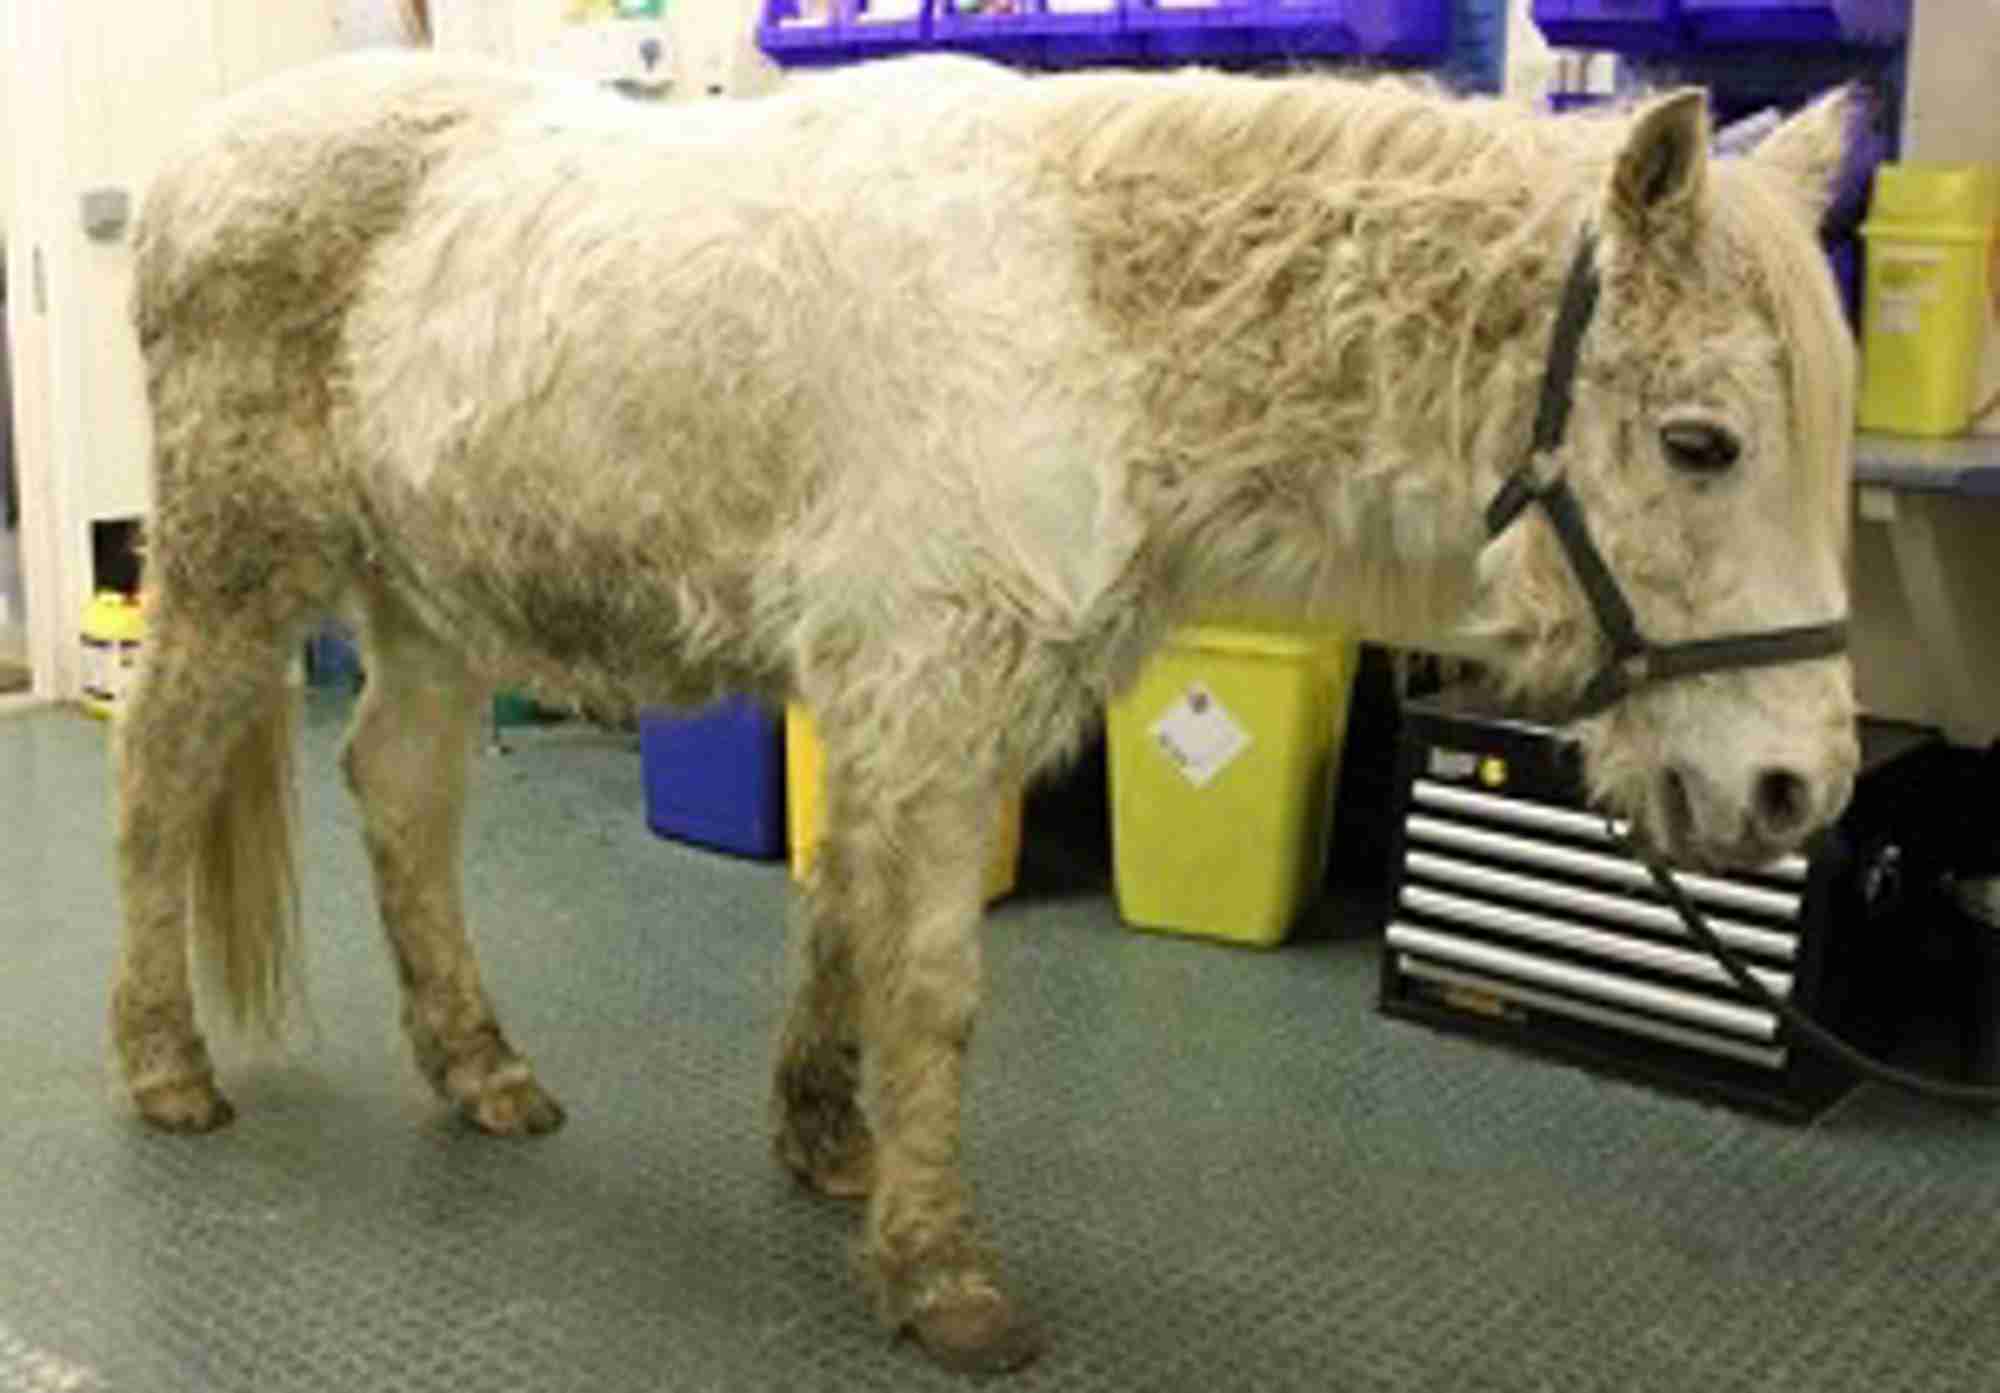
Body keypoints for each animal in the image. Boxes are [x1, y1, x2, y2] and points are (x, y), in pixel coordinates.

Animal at [110, 49, 1858, 1373]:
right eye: (1701, 443)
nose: (1800, 788)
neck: (1100, 316)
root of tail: (195, 156)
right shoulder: (927, 689)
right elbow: (936, 985)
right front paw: (941, 1271)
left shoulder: (903, 698)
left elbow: (841, 916)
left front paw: (829, 1144)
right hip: (238, 561)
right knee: (159, 777)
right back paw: (165, 1066)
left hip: (432, 598)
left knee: (400, 792)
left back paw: (479, 1068)